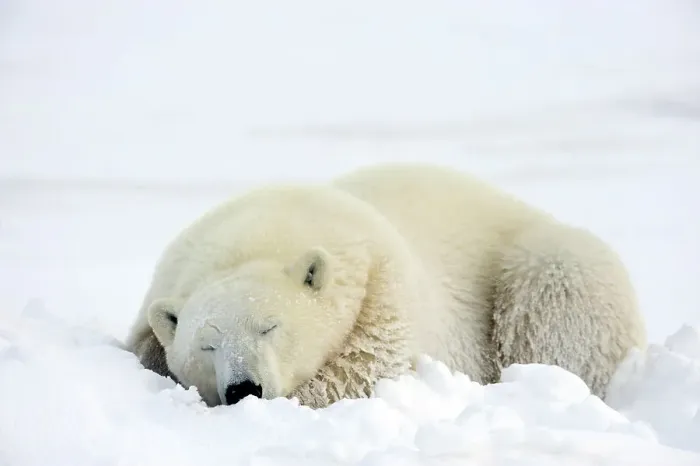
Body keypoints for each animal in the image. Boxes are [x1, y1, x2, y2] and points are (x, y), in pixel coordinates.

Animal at [125, 163, 647, 408]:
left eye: (270, 327)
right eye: (207, 345)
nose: (243, 389)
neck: (256, 240)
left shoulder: (378, 285)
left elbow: (364, 370)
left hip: (548, 263)